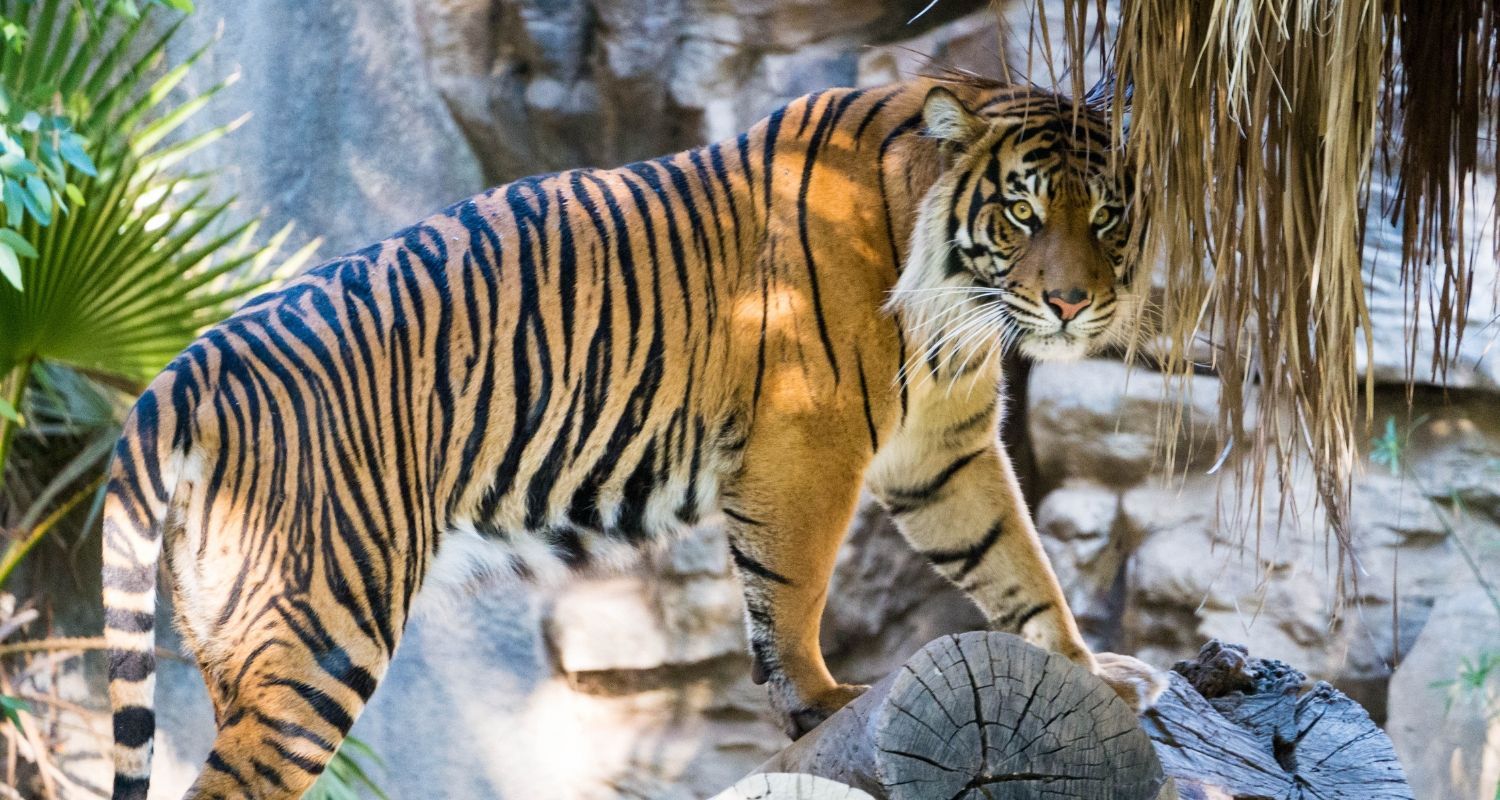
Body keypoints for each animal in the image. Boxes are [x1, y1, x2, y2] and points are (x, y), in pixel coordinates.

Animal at [102, 75, 1166, 800]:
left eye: (1109, 216)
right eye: (1023, 211)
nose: (1073, 304)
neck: (955, 301)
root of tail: (180, 372)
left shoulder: (941, 455)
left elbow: (1015, 559)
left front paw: (1089, 672)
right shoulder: (807, 439)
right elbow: (791, 589)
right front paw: (820, 700)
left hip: (236, 628)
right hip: (318, 627)